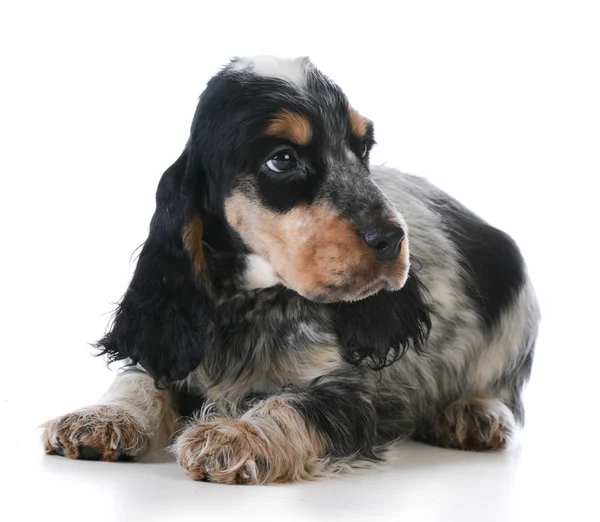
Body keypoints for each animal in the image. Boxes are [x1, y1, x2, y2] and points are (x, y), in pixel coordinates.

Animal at [42, 55, 540, 484]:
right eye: (282, 159)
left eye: (363, 149)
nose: (392, 238)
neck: (252, 303)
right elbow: (138, 381)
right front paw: (99, 419)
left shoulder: (352, 396)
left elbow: (289, 405)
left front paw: (235, 434)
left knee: (502, 386)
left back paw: (473, 414)